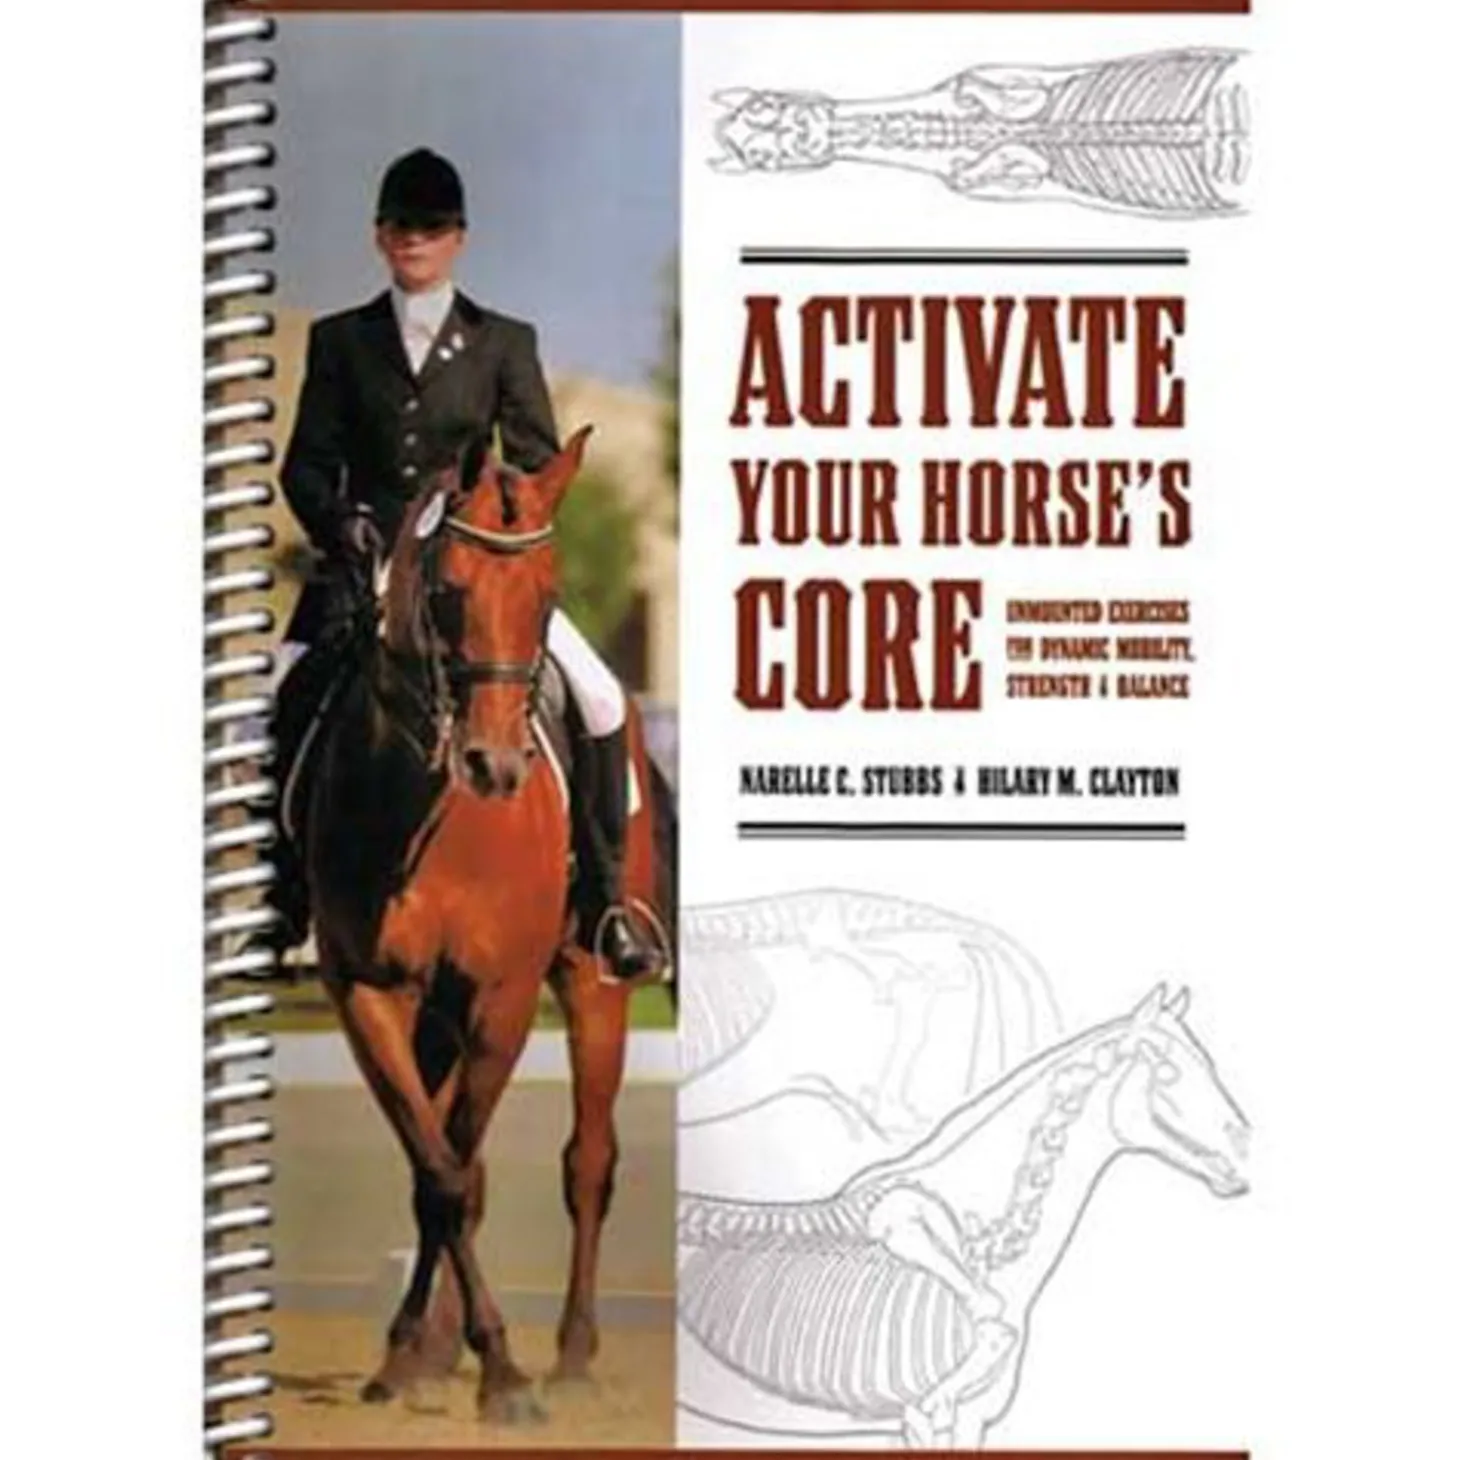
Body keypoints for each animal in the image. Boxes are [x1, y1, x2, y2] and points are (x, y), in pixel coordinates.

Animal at [300, 424, 676, 1422]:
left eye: (546, 596)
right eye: (447, 591)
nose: (496, 767)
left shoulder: (503, 997)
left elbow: (461, 1171)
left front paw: (504, 1370)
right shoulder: (369, 995)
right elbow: (438, 1172)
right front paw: (419, 1356)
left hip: (592, 980)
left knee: (589, 1160)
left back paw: (575, 1354)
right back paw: (429, 1349)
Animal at [676, 982, 1249, 1449]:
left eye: (1207, 1061)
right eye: (1168, 1068)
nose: (1242, 1147)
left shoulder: (972, 1421)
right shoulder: (926, 1414)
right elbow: (985, 1328)